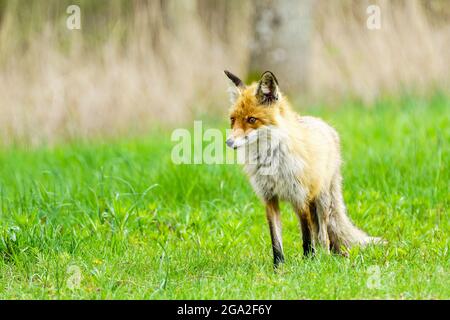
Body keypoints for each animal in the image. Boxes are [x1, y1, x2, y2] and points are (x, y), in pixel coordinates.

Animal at [224, 70, 384, 268]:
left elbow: (307, 237)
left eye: (251, 119)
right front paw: (278, 267)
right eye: (233, 120)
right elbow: (276, 240)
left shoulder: (300, 197)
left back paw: (325, 257)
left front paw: (309, 263)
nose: (229, 142)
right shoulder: (269, 199)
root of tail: (324, 125)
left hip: (322, 201)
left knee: (323, 235)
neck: (272, 163)